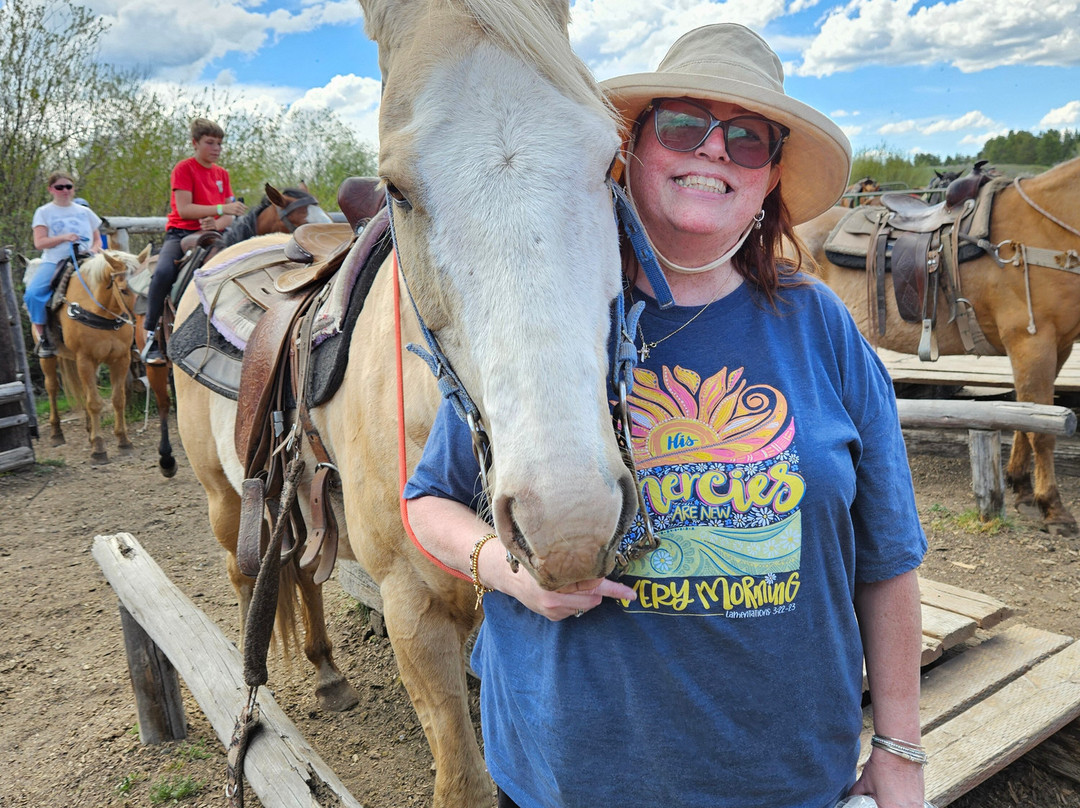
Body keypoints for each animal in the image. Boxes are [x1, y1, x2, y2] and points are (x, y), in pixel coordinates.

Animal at [40, 246, 152, 463]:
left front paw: (123, 441)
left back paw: (89, 430)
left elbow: (118, 399)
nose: (145, 322)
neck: (101, 313)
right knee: (52, 388)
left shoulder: (120, 359)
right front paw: (99, 448)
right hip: (48, 357)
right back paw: (57, 433)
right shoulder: (85, 360)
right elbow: (94, 403)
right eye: (124, 290)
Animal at [173, 1, 629, 804]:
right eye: (399, 189)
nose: (568, 523)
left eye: (610, 161)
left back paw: (328, 672)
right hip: (224, 499)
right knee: (245, 572)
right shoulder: (411, 610)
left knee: (303, 574)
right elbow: (464, 777)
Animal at [795, 155, 1080, 536]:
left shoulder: (1057, 346)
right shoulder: (1032, 341)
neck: (1044, 230)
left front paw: (1021, 488)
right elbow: (1043, 433)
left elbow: (1029, 416)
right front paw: (1054, 508)